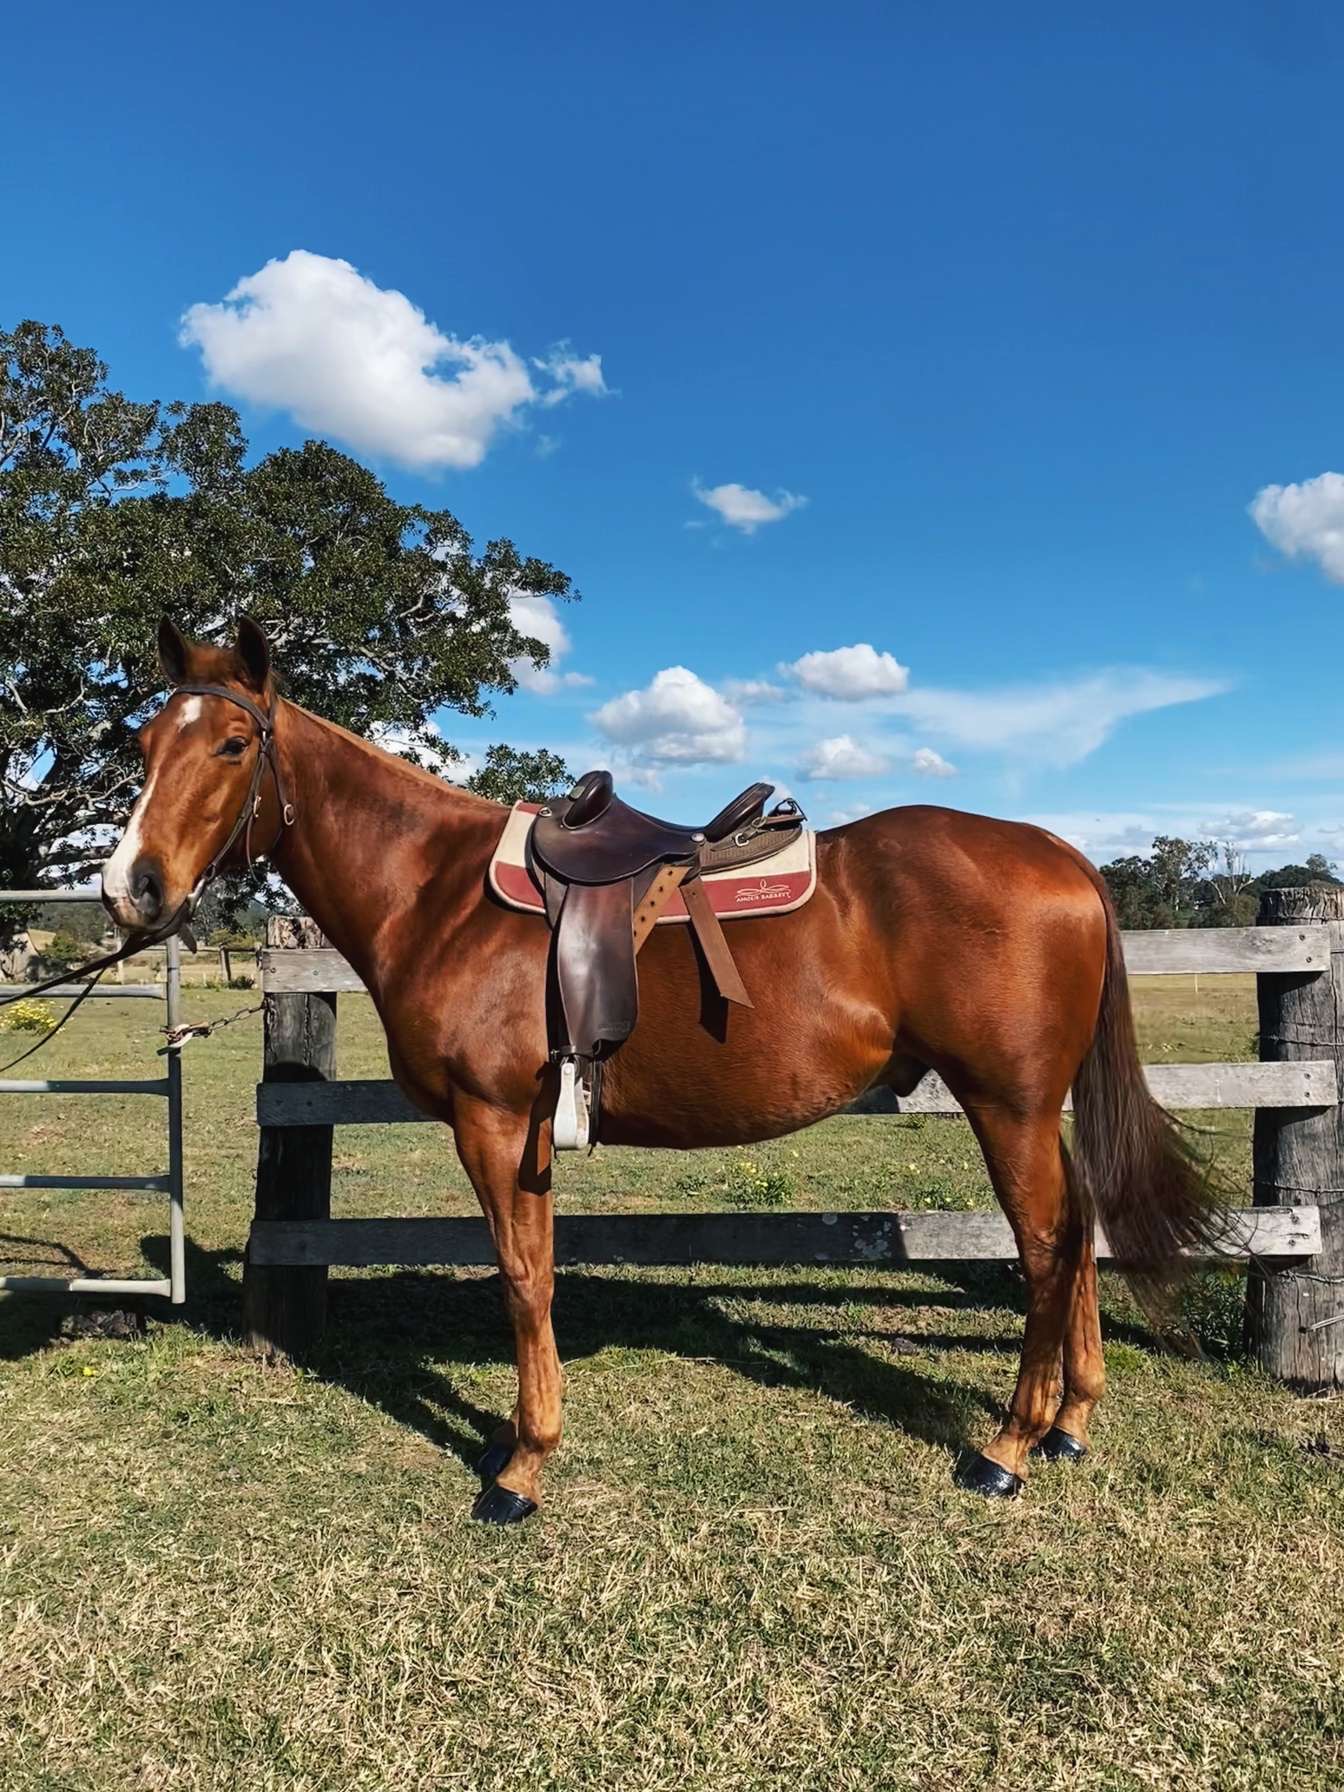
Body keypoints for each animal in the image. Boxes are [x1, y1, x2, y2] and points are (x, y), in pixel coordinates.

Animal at [101, 617, 1215, 1523]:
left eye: (232, 744)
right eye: (145, 747)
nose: (129, 887)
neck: (437, 893)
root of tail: (1065, 859)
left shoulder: (492, 1121)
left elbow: (521, 1277)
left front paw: (521, 1469)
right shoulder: (527, 1127)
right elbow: (537, 1270)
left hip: (1005, 1102)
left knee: (1046, 1243)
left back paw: (1010, 1447)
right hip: (1032, 1107)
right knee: (1078, 1228)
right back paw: (1070, 1422)